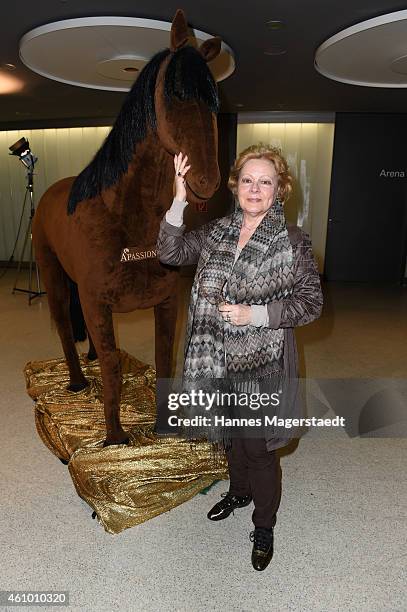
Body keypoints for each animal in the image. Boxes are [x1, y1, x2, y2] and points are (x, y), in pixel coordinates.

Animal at [32, 10, 222, 444]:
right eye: (176, 93)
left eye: (214, 100)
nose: (207, 181)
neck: (127, 220)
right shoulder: (97, 304)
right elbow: (113, 368)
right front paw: (116, 437)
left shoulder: (166, 304)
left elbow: (162, 360)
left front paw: (163, 427)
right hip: (52, 276)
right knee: (64, 326)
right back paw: (77, 382)